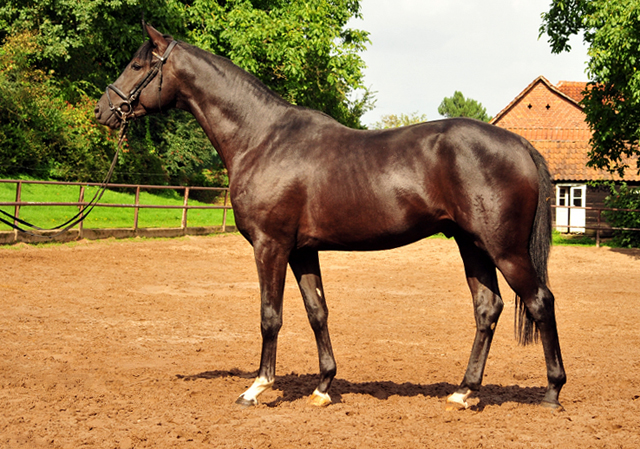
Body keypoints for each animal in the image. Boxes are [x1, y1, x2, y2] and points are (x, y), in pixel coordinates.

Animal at [94, 23, 564, 410]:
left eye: (138, 65)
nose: (103, 110)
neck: (261, 138)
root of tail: (520, 144)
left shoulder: (270, 246)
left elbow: (270, 316)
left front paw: (256, 387)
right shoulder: (302, 252)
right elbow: (317, 312)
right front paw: (322, 387)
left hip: (504, 249)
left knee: (540, 301)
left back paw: (552, 392)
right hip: (472, 246)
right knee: (488, 308)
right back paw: (464, 392)